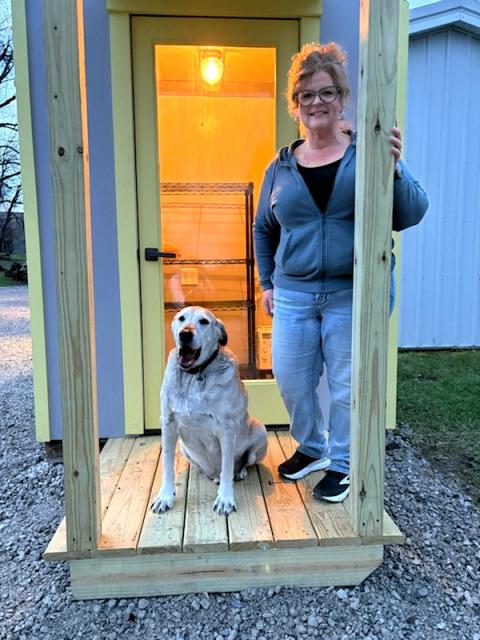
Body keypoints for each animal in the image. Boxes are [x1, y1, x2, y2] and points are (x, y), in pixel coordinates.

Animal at [151, 306, 268, 515]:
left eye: (204, 321)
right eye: (181, 319)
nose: (185, 334)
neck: (194, 375)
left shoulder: (227, 429)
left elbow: (227, 466)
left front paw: (225, 499)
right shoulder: (168, 422)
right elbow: (167, 465)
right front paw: (165, 496)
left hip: (260, 429)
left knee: (244, 461)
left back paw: (239, 471)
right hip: (184, 448)